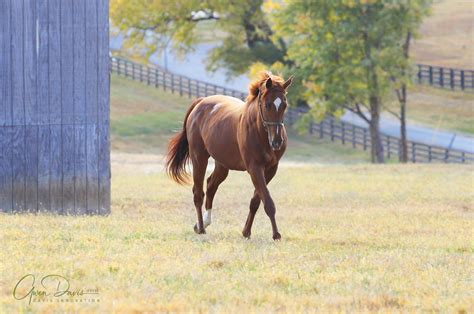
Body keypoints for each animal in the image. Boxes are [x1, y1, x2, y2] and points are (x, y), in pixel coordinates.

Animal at [166, 72, 292, 239]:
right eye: (267, 105)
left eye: (284, 105)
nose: (277, 141)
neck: (259, 132)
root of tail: (200, 102)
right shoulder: (255, 168)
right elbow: (268, 202)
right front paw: (276, 234)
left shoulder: (271, 169)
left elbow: (256, 201)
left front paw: (246, 232)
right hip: (199, 157)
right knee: (198, 193)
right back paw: (201, 228)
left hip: (222, 164)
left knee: (211, 186)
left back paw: (203, 223)